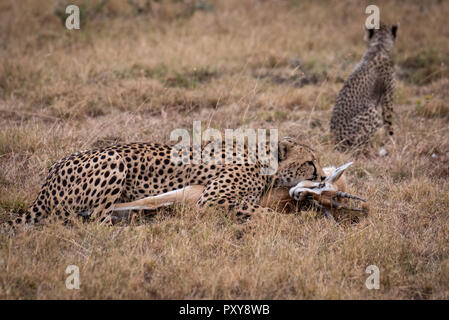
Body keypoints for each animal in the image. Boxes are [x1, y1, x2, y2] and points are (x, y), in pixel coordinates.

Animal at [328, 23, 398, 151]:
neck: (379, 46)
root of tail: (334, 142)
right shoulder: (388, 96)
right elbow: (389, 122)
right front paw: (392, 143)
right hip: (371, 112)